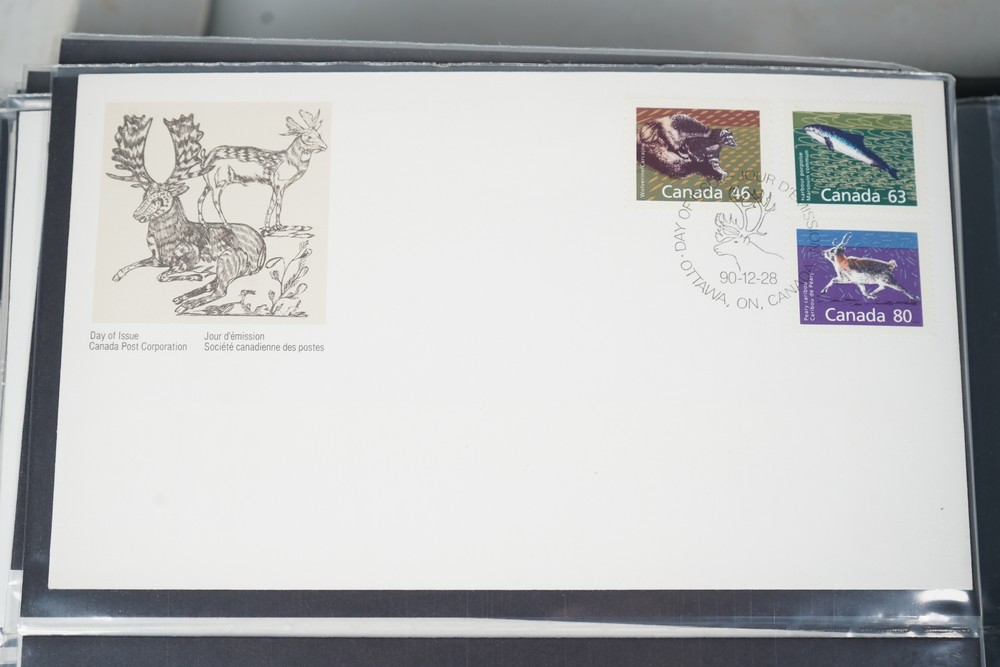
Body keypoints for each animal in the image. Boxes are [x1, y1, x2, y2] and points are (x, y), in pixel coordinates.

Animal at [108, 114, 267, 313]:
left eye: (159, 199)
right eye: (145, 195)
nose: (137, 215)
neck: (164, 242)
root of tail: (263, 250)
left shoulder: (191, 255)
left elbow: (162, 276)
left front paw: (193, 276)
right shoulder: (157, 259)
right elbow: (132, 264)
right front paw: (116, 275)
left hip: (228, 259)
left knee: (220, 291)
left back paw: (185, 305)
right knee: (214, 284)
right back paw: (182, 297)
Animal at [197, 109, 327, 233]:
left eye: (319, 134)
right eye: (309, 137)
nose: (325, 146)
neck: (291, 162)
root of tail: (205, 159)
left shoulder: (279, 185)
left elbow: (274, 204)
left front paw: (272, 226)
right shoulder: (278, 182)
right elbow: (276, 204)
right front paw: (274, 226)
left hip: (209, 183)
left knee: (199, 199)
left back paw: (204, 223)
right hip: (219, 181)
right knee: (216, 202)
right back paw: (227, 225)